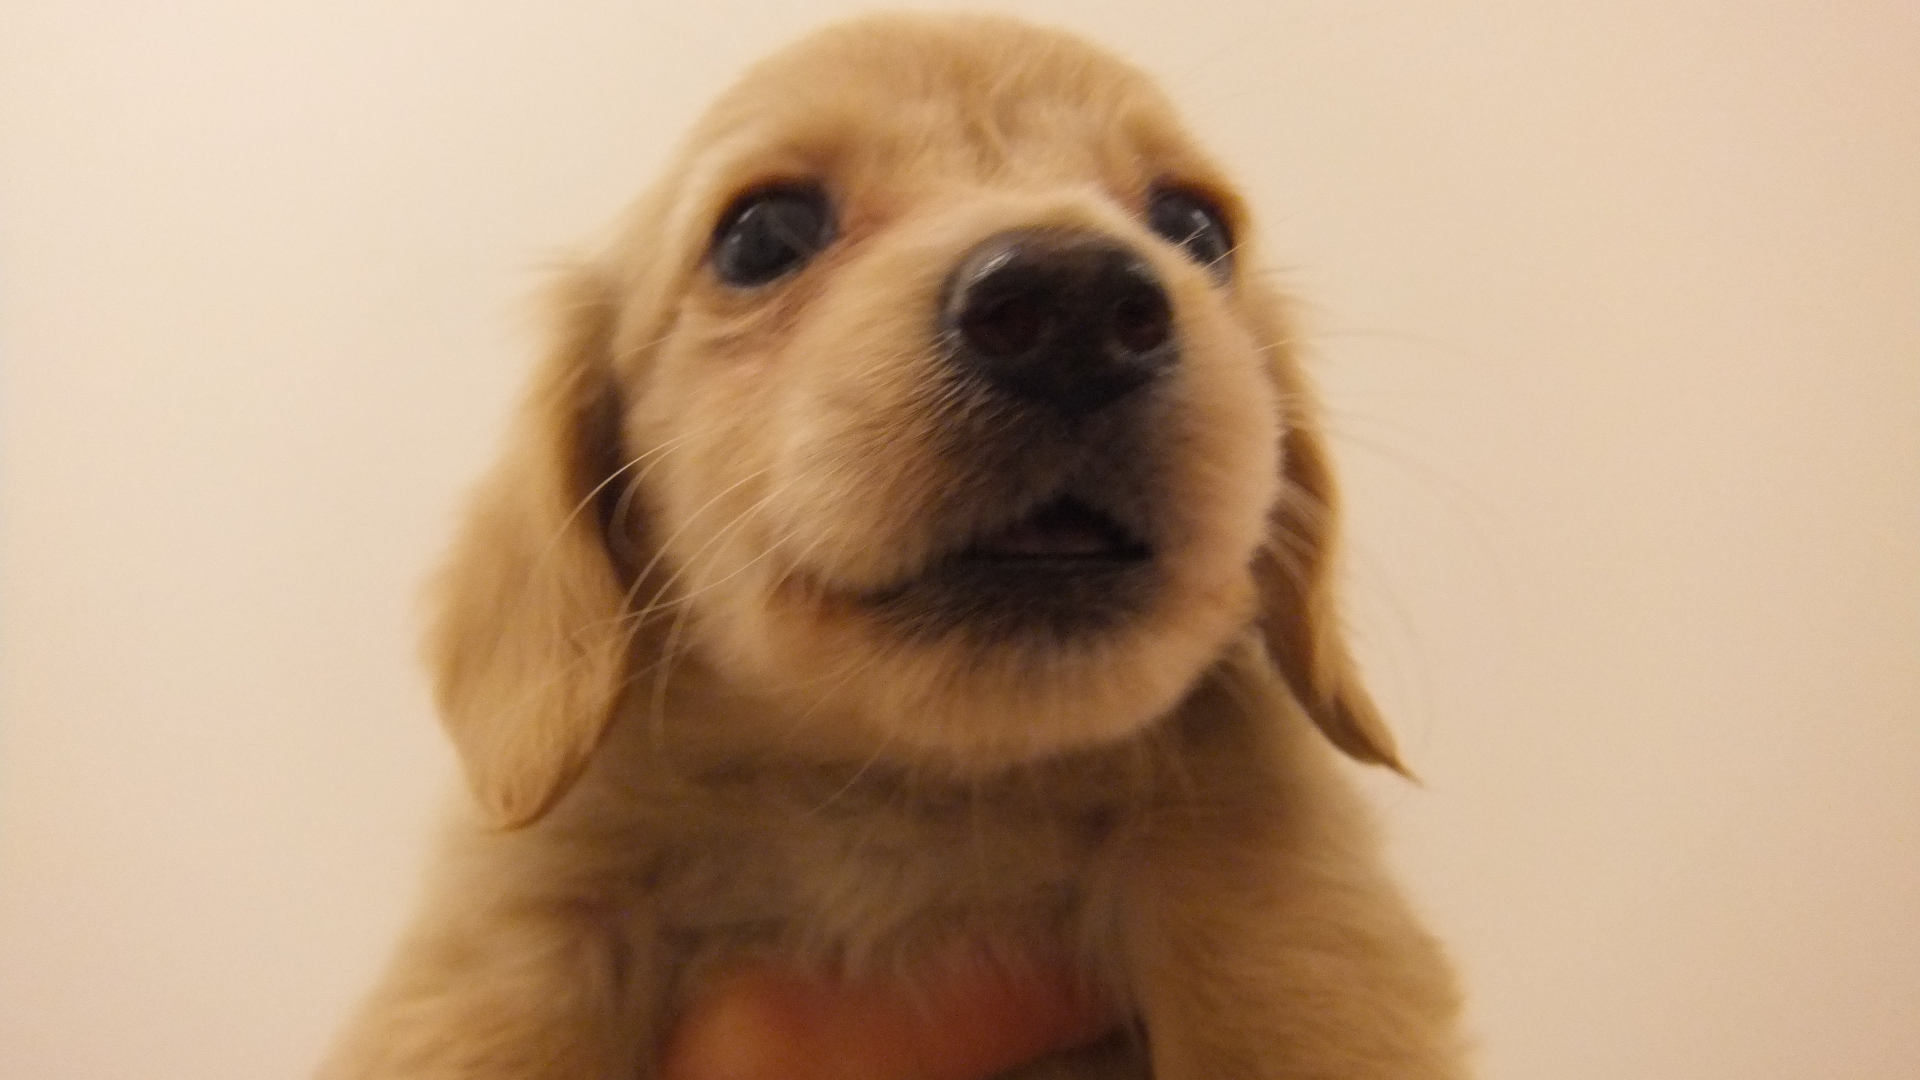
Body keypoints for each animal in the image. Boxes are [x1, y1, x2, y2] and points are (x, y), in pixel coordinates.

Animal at [319, 14, 1468, 1079]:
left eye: (1197, 229)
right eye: (760, 235)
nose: (1076, 311)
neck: (904, 793)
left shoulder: (1275, 883)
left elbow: (1283, 980)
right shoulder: (519, 925)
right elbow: (495, 1009)